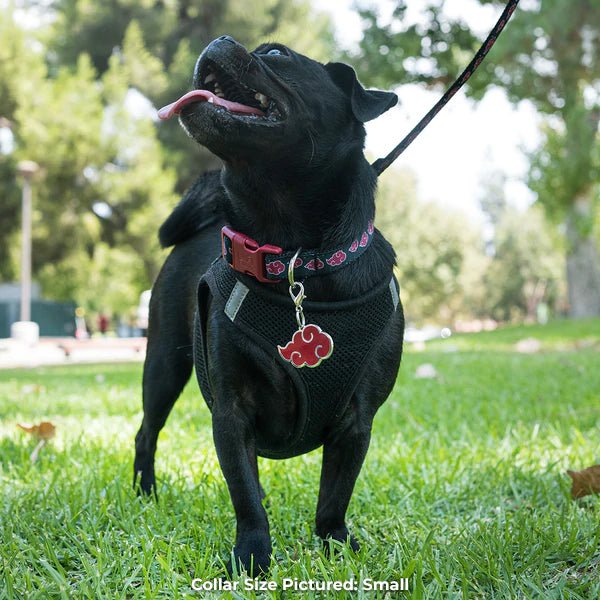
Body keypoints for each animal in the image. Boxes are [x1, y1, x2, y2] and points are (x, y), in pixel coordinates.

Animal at [134, 35, 406, 576]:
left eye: (277, 54)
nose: (219, 39)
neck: (296, 260)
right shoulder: (231, 411)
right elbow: (244, 496)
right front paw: (253, 555)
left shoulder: (356, 421)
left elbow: (334, 494)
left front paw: (335, 544)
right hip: (164, 365)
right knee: (147, 432)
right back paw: (145, 494)